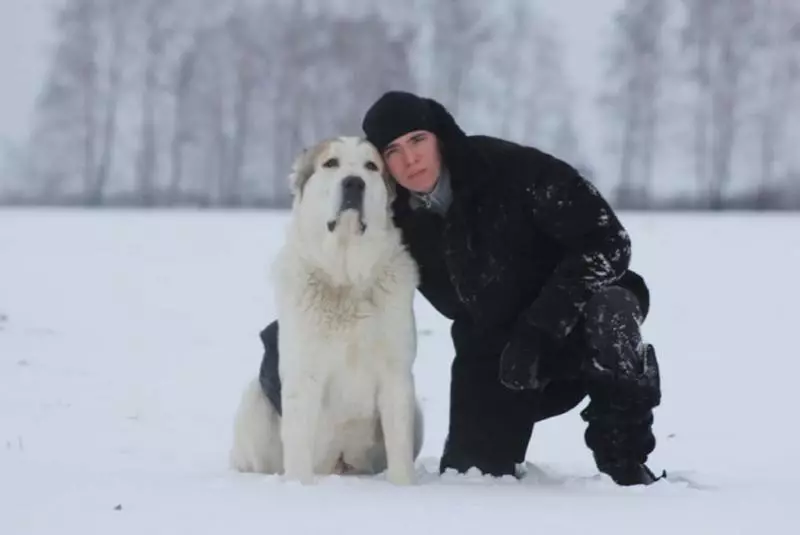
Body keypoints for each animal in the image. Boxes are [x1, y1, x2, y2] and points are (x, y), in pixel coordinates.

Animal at [230, 137, 424, 486]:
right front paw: (298, 487)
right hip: (255, 401)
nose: (354, 183)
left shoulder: (396, 375)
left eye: (371, 166)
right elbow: (298, 442)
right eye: (331, 164)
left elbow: (399, 444)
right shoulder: (302, 374)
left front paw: (403, 487)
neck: (344, 280)